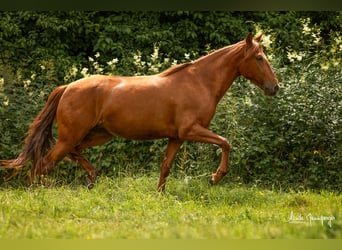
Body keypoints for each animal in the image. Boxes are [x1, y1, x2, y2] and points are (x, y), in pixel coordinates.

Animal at [1, 32, 280, 190]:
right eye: (259, 58)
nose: (275, 87)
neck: (200, 81)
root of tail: (67, 87)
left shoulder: (176, 137)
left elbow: (165, 167)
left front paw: (160, 195)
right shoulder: (191, 130)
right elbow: (225, 142)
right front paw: (215, 177)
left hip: (97, 135)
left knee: (72, 153)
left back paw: (91, 177)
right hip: (72, 136)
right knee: (44, 163)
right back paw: (37, 192)